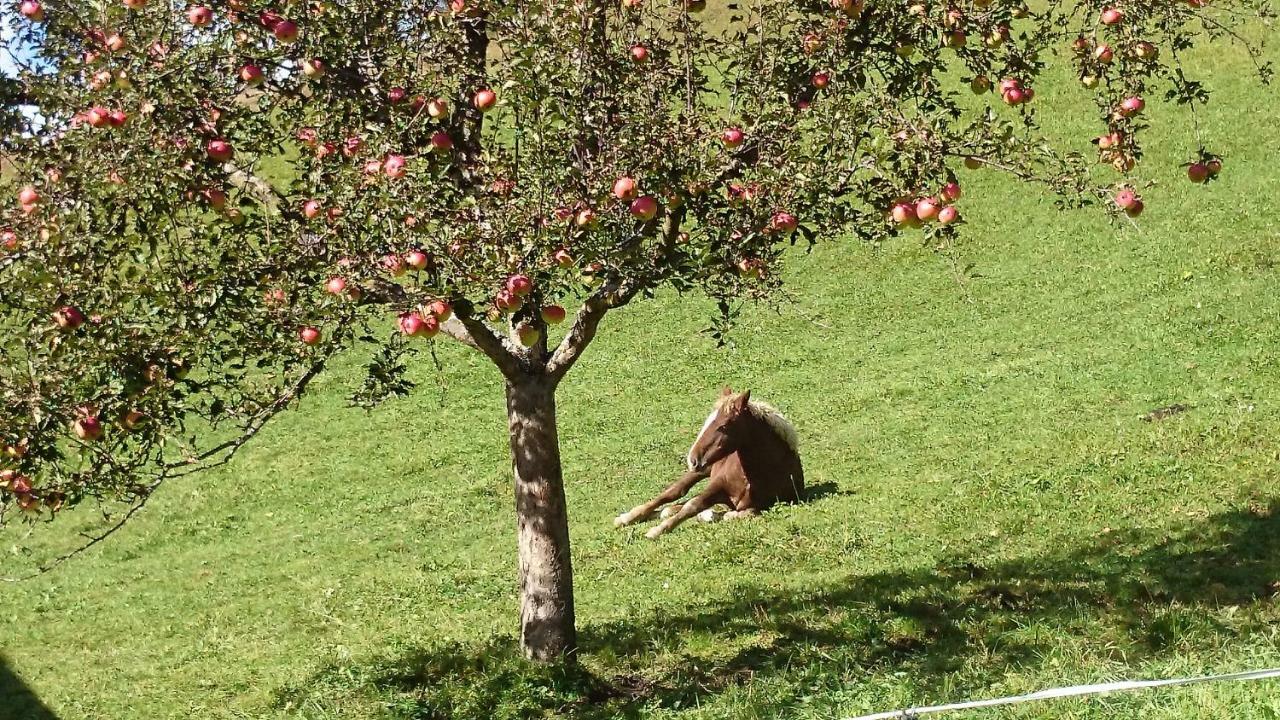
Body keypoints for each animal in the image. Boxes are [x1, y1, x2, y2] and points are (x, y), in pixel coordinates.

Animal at [609, 386, 798, 532]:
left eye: (723, 426)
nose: (692, 460)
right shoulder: (717, 484)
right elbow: (693, 504)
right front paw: (658, 530)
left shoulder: (767, 504)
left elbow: (733, 514)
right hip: (704, 469)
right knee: (673, 493)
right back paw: (628, 517)